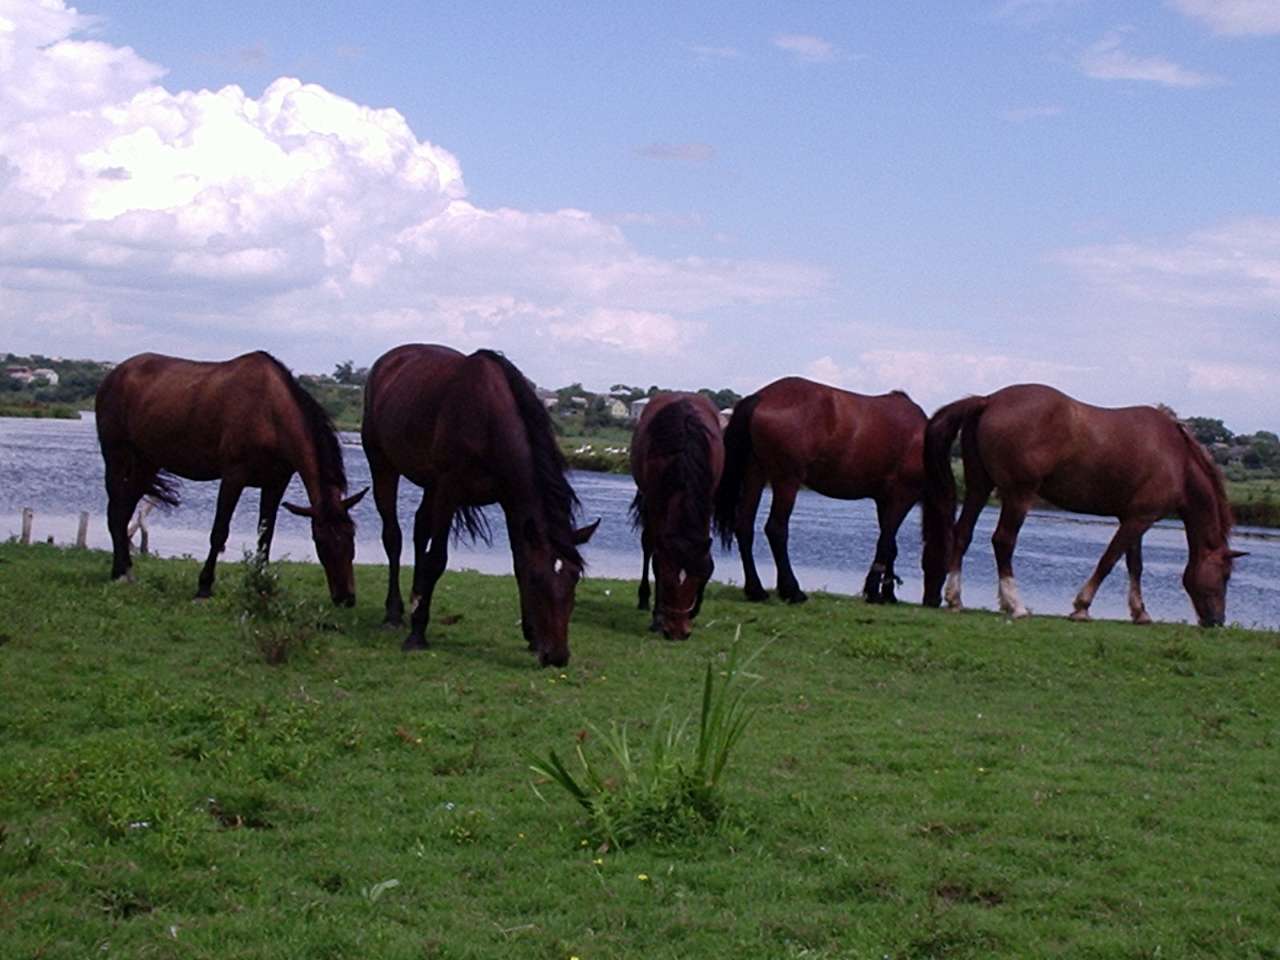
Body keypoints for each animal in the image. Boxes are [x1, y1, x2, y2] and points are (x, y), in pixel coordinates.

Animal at [93, 353, 366, 604]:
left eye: (351, 536)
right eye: (320, 541)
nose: (346, 597)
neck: (269, 413)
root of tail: (115, 373)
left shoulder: (275, 483)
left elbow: (265, 536)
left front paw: (261, 586)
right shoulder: (234, 476)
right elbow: (219, 532)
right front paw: (204, 587)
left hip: (146, 462)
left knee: (125, 510)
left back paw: (127, 569)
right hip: (116, 456)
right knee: (115, 512)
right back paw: (119, 572)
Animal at [360, 345, 599, 670]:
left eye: (574, 578)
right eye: (539, 580)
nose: (558, 656)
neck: (488, 417)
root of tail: (386, 362)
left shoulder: (512, 501)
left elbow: (519, 562)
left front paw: (532, 636)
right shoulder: (449, 489)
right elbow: (437, 559)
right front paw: (417, 635)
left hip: (429, 484)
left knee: (420, 531)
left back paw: (416, 597)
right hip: (382, 463)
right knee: (393, 537)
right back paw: (395, 613)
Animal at [627, 391, 727, 640]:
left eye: (696, 579)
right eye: (669, 581)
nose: (678, 632)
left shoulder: (707, 501)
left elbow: (706, 560)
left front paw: (695, 609)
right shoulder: (655, 502)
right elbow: (656, 559)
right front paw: (657, 617)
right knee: (647, 545)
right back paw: (644, 598)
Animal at [711, 378, 952, 604]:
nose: (934, 601)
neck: (922, 441)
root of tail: (761, 397)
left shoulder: (884, 500)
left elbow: (890, 545)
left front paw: (888, 594)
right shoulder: (902, 497)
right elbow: (885, 543)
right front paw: (874, 592)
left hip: (755, 474)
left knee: (744, 527)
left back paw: (756, 591)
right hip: (787, 480)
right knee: (776, 529)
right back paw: (792, 591)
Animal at [926, 384, 1244, 632]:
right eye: (1225, 575)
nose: (1217, 621)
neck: (1177, 459)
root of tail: (989, 400)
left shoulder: (1135, 518)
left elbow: (1135, 565)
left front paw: (1140, 613)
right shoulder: (1139, 519)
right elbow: (1109, 560)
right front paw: (1082, 606)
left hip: (979, 488)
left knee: (963, 534)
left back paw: (955, 599)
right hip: (1018, 495)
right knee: (1003, 541)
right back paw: (1015, 605)